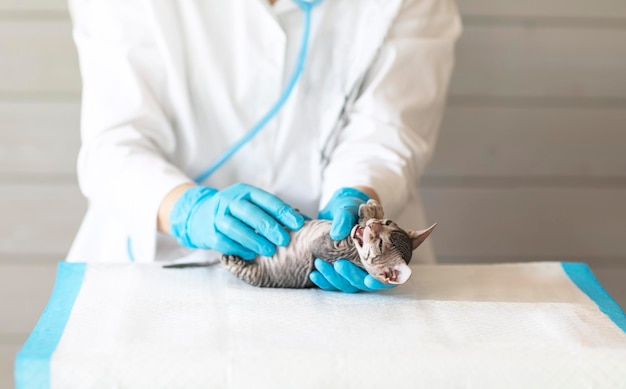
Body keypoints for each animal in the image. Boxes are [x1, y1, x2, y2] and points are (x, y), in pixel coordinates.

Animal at [217, 200, 432, 288]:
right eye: (387, 223)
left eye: (379, 245)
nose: (373, 226)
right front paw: (372, 208)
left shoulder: (325, 248)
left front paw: (366, 212)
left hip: (260, 275)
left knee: (244, 271)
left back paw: (230, 259)